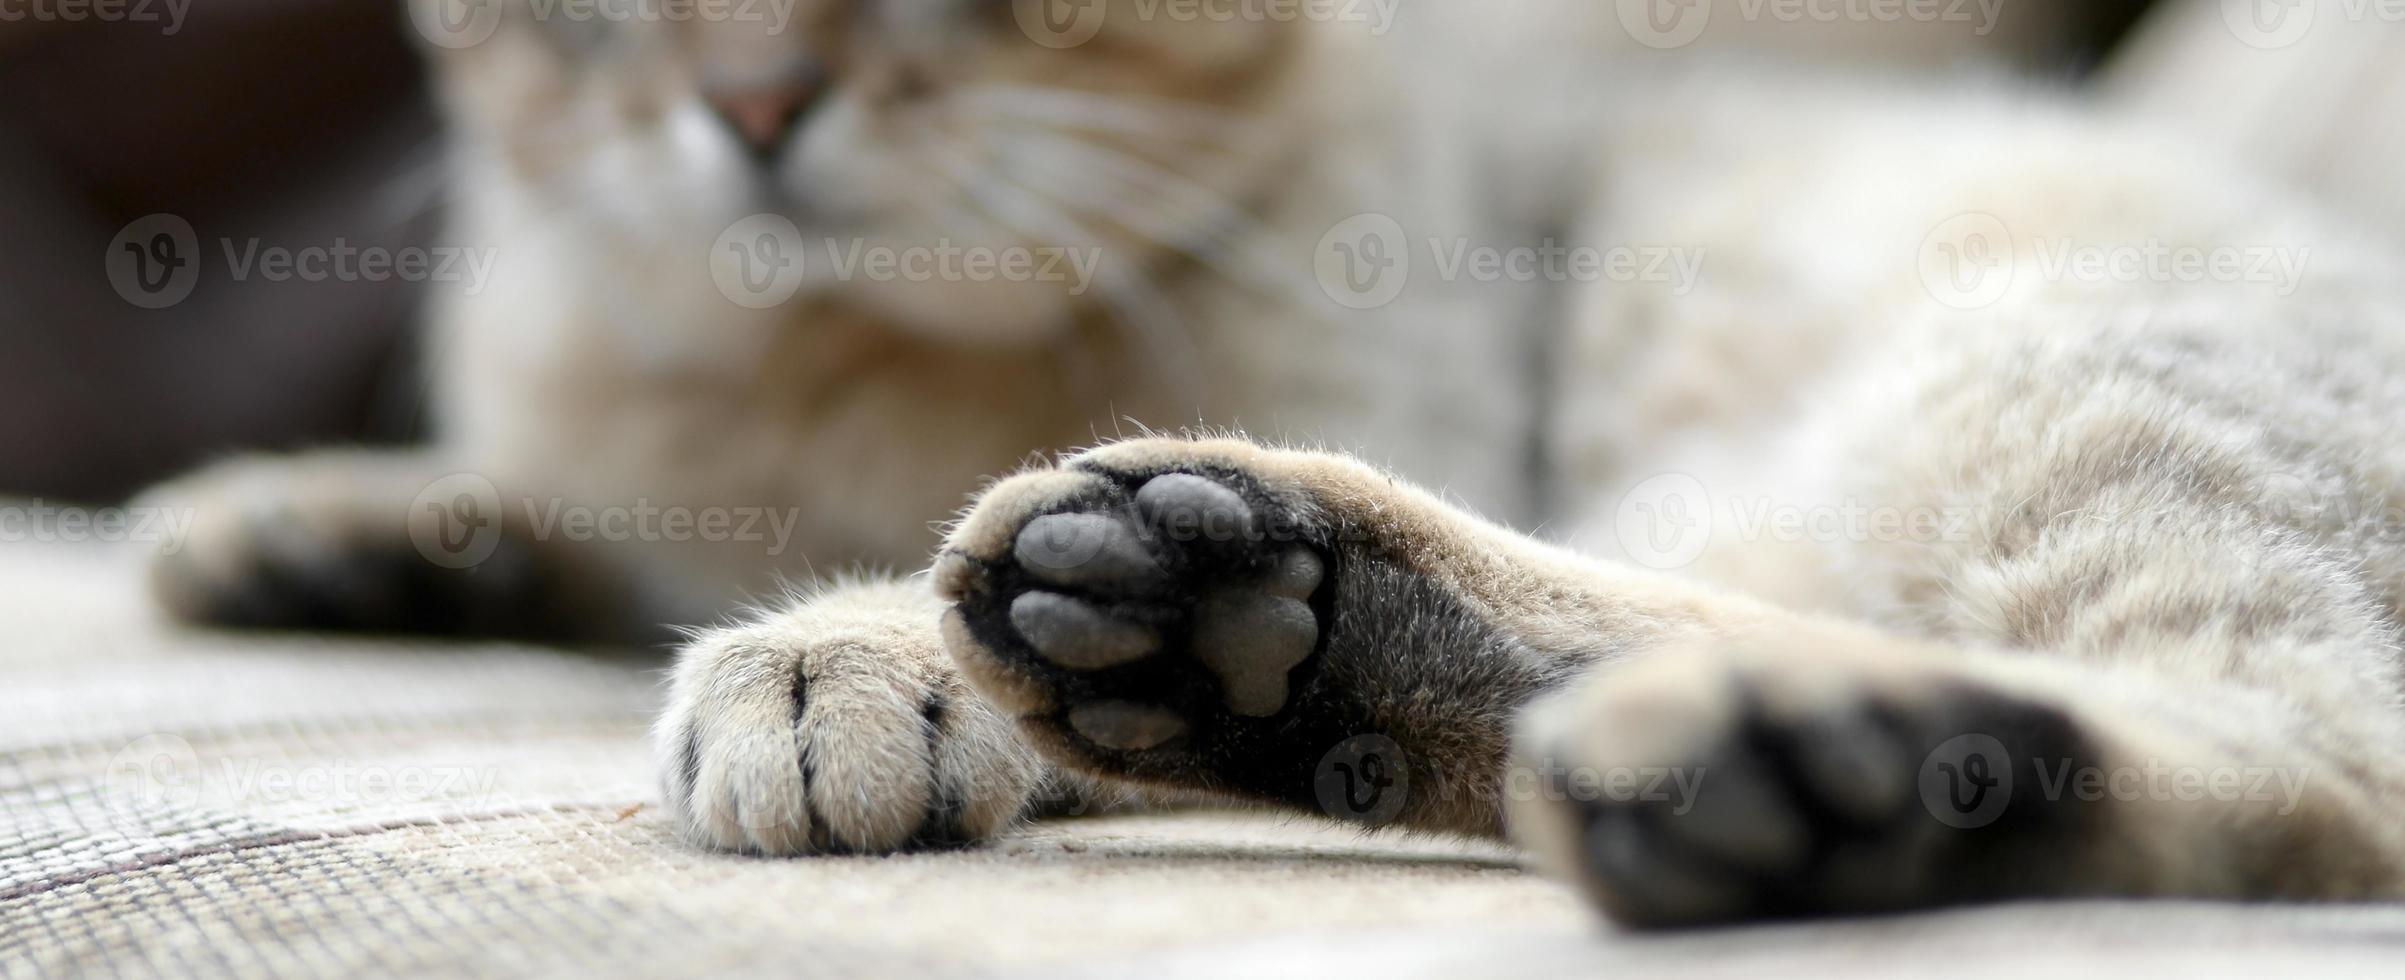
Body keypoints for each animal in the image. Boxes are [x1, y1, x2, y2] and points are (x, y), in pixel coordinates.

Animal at [140, 0, 2405, 929]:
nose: (758, 106)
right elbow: (577, 532)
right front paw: (310, 524)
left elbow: (840, 598)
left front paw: (830, 661)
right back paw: (1263, 633)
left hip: (2035, 380)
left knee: (2319, 784)